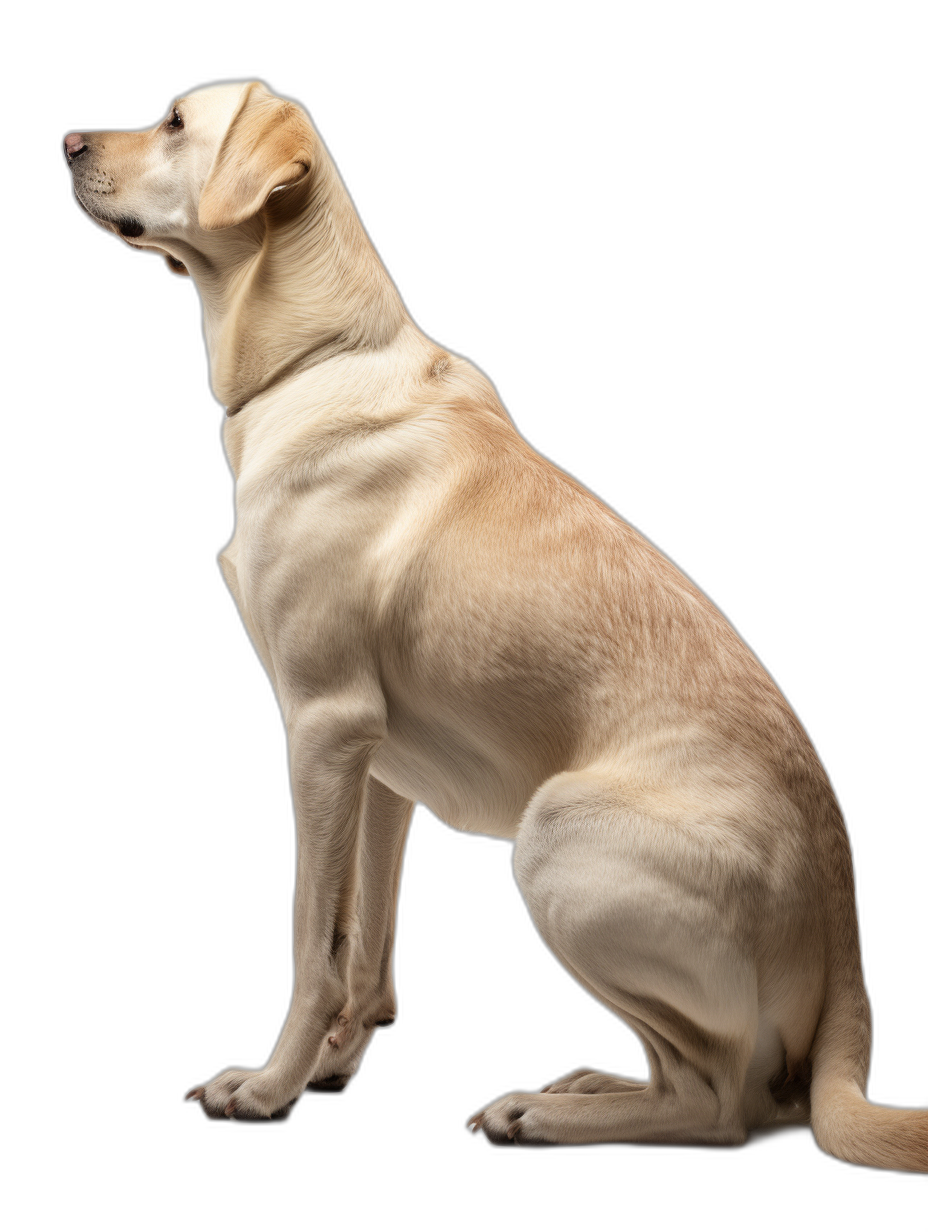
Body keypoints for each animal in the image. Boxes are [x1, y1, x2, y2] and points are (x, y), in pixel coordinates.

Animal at [61, 79, 921, 1163]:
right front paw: (331, 1067)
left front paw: (266, 1088)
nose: (66, 140)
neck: (317, 359)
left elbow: (310, 940)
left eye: (174, 121)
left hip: (554, 844)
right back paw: (588, 1082)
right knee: (704, 1078)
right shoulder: (378, 765)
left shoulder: (321, 727)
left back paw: (539, 1113)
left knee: (728, 1105)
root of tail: (849, 947)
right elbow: (364, 946)